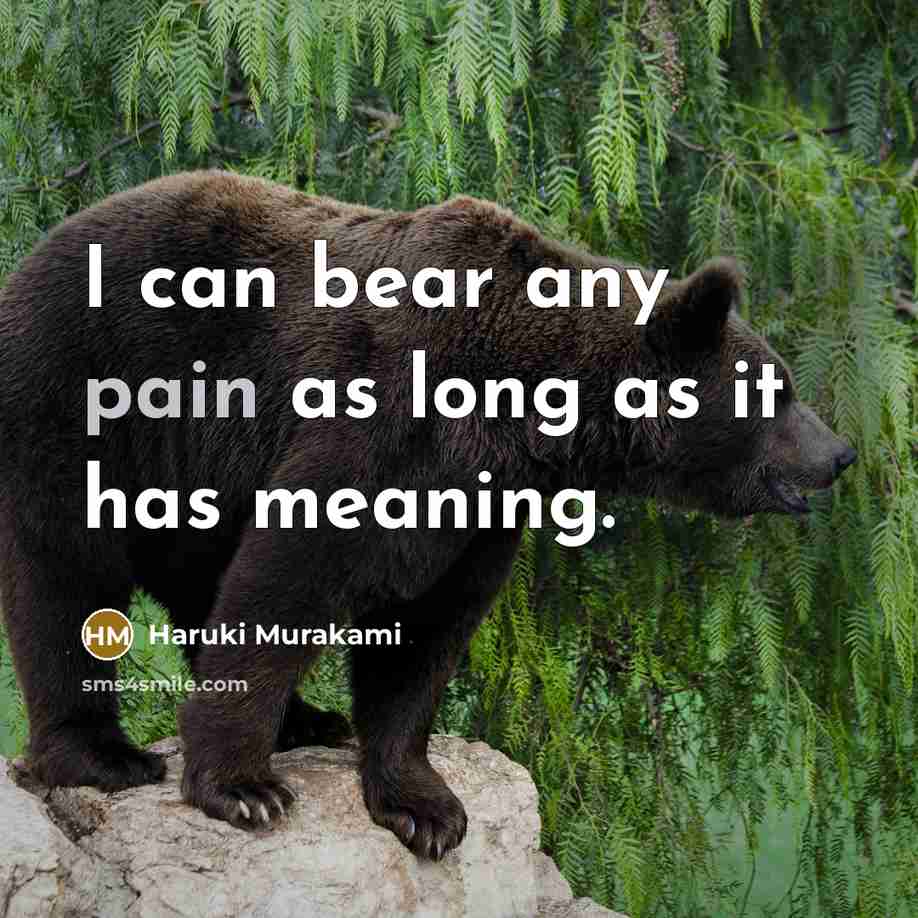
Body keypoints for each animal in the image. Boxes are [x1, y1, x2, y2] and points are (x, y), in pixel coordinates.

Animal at [0, 170, 856, 860]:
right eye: (777, 390)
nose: (841, 452)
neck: (522, 403)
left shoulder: (480, 503)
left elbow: (426, 634)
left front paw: (425, 807)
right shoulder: (381, 423)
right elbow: (287, 578)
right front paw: (244, 787)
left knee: (191, 576)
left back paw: (308, 719)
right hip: (90, 391)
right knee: (65, 573)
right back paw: (104, 755)